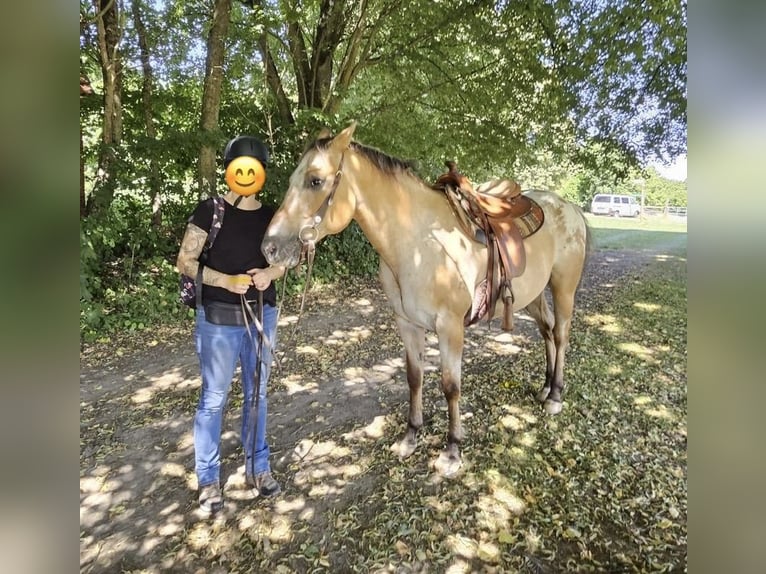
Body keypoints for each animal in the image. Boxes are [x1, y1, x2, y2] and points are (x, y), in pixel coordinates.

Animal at [262, 122, 590, 476]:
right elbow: (414, 377)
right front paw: (411, 436)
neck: (417, 242)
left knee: (561, 333)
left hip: (563, 287)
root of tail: (569, 207)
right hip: (532, 295)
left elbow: (450, 385)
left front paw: (452, 450)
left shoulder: (450, 327)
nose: (269, 248)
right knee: (547, 331)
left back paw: (555, 396)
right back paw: (545, 387)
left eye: (315, 180)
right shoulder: (407, 323)